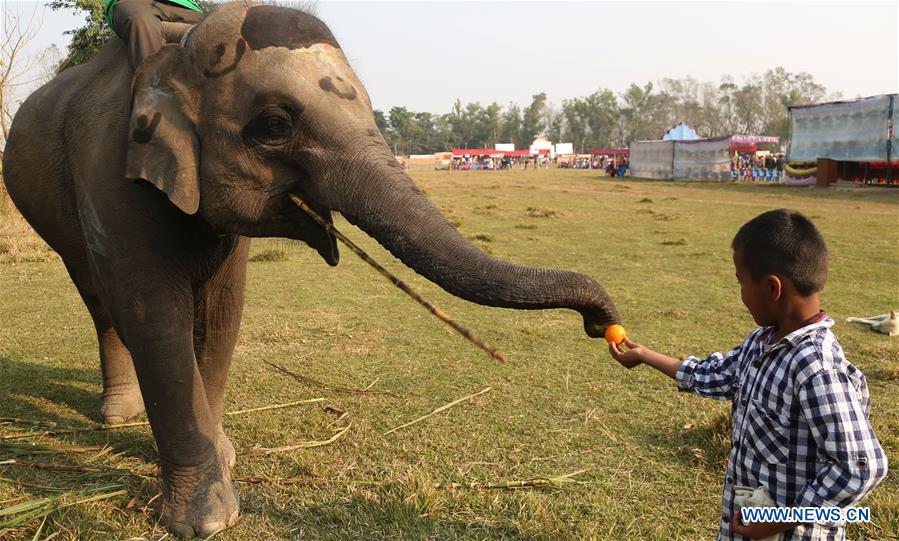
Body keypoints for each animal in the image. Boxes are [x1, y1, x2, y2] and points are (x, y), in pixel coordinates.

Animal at [1, 2, 620, 536]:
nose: (604, 327)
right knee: (99, 298)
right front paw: (206, 521)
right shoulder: (111, 173)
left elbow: (223, 311)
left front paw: (224, 453)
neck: (176, 53)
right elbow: (154, 317)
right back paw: (118, 414)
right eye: (275, 124)